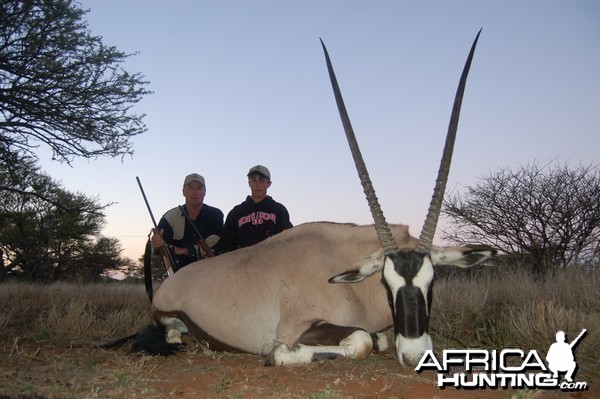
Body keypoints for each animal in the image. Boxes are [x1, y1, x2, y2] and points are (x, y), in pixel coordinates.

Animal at [139, 32, 492, 368]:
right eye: (386, 283)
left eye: (432, 282)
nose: (415, 355)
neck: (347, 279)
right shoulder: (299, 325)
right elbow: (361, 340)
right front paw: (279, 356)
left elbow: (379, 339)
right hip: (167, 316)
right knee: (171, 332)